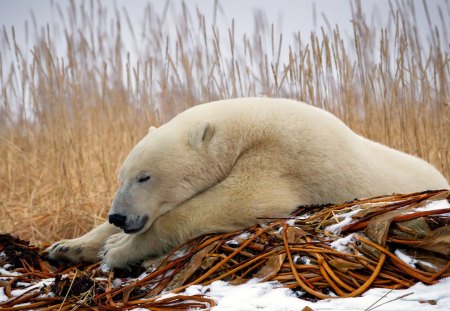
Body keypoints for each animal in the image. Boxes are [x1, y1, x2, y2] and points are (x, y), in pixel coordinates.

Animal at [44, 97, 446, 268]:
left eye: (145, 176)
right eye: (121, 176)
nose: (119, 217)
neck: (244, 126)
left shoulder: (280, 154)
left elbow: (241, 200)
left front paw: (117, 250)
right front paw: (67, 248)